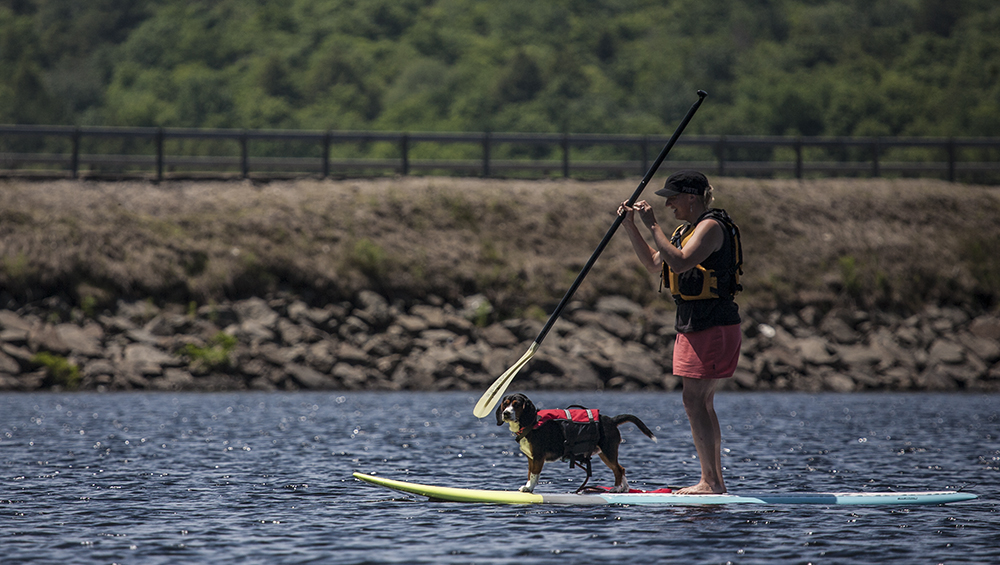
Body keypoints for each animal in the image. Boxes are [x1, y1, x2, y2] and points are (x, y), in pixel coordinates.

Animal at [498, 394, 656, 492]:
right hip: (606, 454)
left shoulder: (538, 457)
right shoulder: (531, 458)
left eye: (516, 405)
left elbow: (534, 475)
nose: (505, 413)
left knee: (618, 470)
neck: (531, 423)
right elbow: (529, 474)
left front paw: (530, 489)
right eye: (505, 404)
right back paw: (624, 488)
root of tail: (611, 420)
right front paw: (527, 487)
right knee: (621, 468)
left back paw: (616, 488)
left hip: (608, 452)